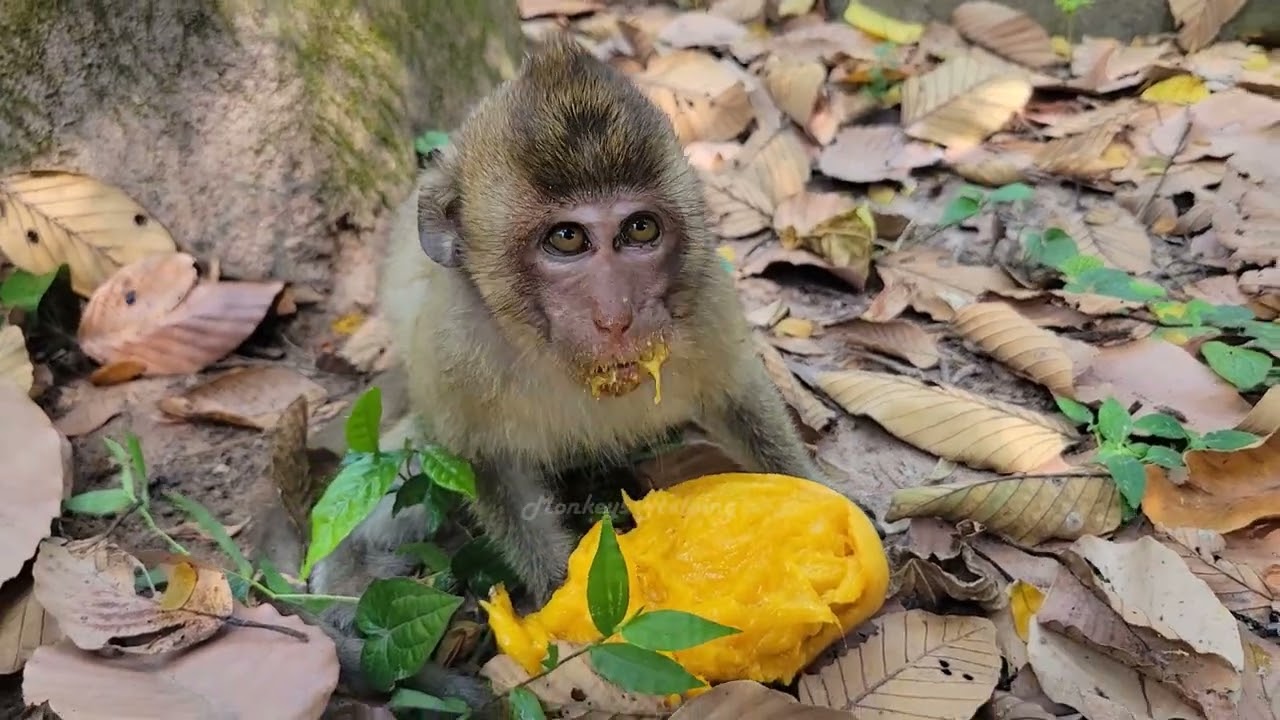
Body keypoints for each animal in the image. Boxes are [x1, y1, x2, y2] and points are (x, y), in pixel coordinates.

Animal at [307, 33, 881, 715]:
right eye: (567, 239)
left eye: (640, 228)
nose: (617, 317)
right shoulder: (455, 347)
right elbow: (480, 461)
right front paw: (563, 599)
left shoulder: (703, 299)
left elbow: (737, 397)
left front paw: (825, 498)